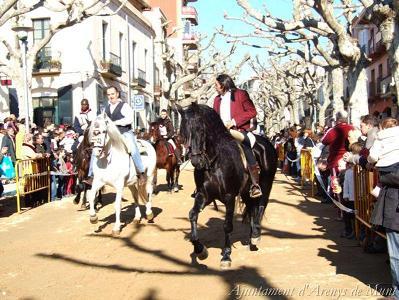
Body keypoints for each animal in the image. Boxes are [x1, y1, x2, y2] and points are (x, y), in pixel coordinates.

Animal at [179, 103, 278, 270]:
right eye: (184, 132)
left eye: (200, 129)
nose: (196, 161)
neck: (214, 162)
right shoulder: (203, 195)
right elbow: (192, 215)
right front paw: (200, 250)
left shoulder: (229, 197)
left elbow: (227, 225)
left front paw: (226, 255)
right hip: (246, 191)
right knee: (252, 208)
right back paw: (251, 237)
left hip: (266, 183)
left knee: (261, 206)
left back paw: (256, 236)